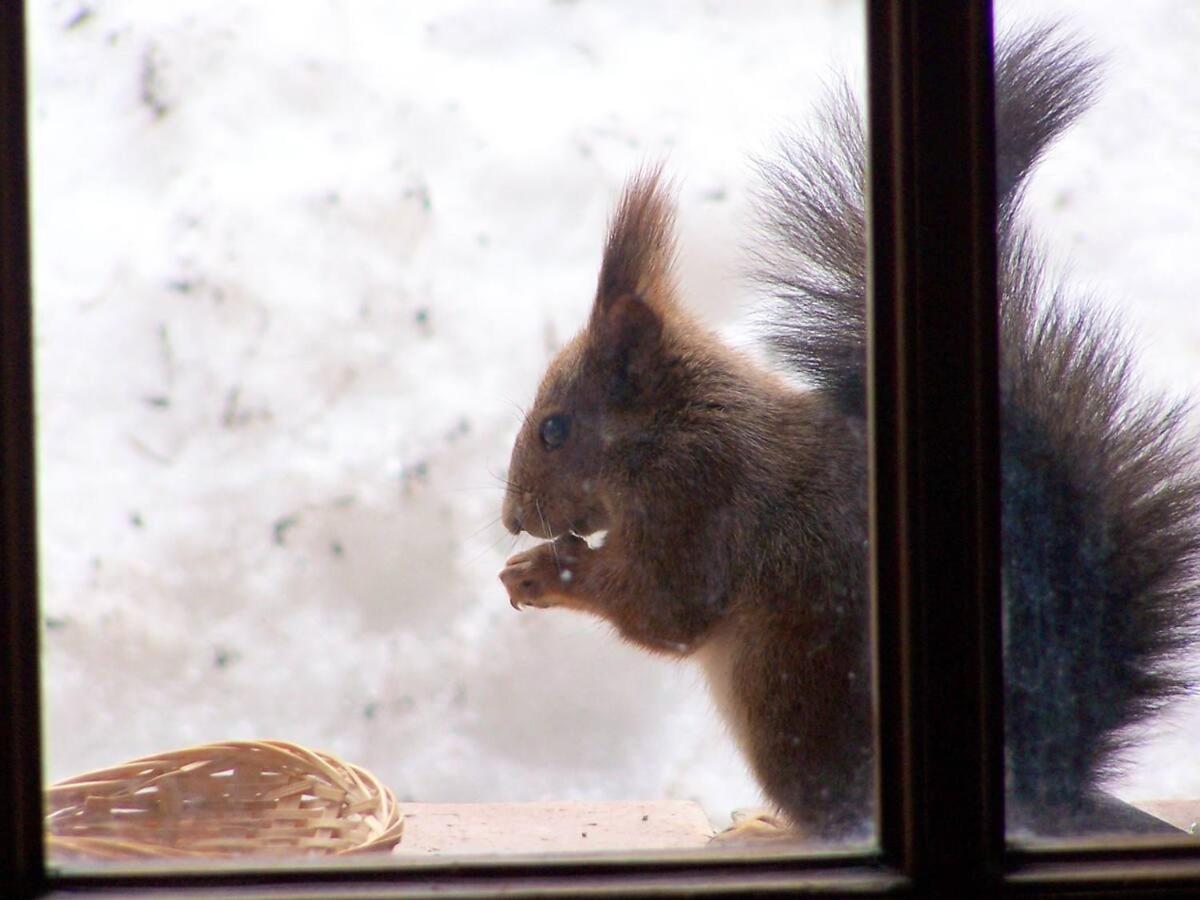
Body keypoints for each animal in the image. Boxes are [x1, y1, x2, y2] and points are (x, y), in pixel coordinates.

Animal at [494, 28, 1200, 844]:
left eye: (554, 429)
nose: (512, 518)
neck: (669, 431)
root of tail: (1037, 780)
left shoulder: (700, 499)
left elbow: (667, 609)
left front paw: (543, 572)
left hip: (786, 695)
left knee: (833, 812)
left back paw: (771, 829)